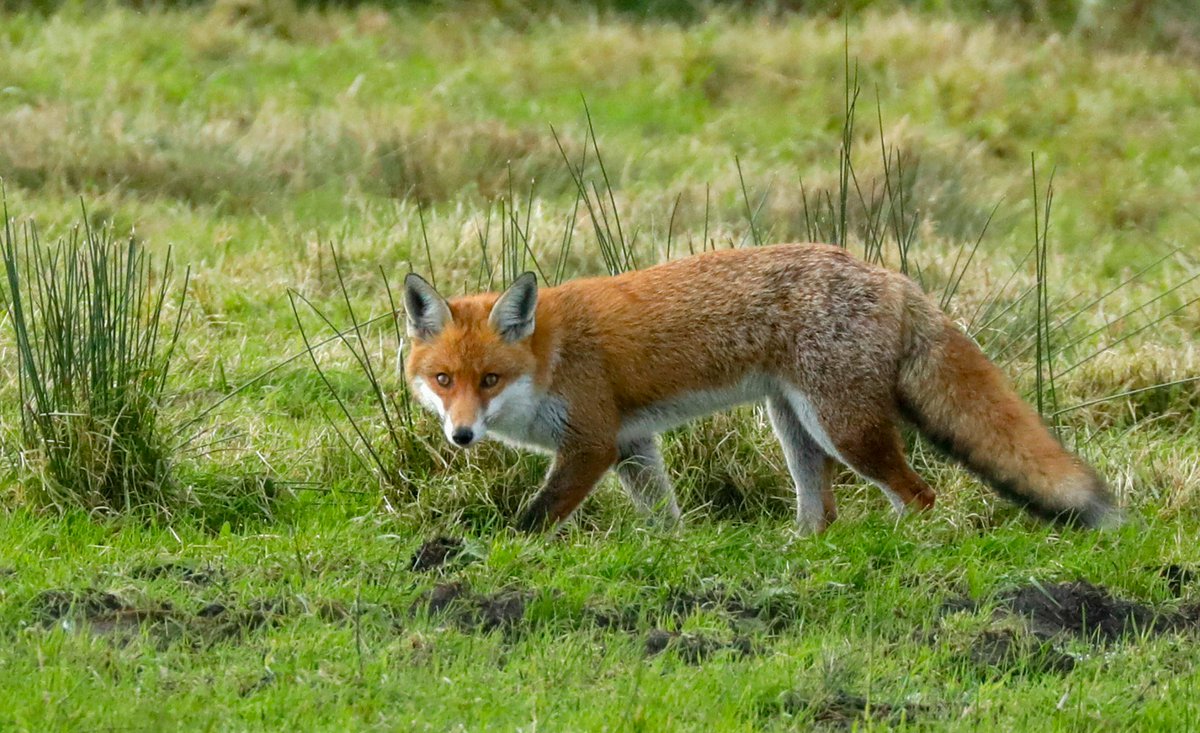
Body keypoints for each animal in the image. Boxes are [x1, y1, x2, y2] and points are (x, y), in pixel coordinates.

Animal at [400, 243, 1113, 537]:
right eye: (444, 380)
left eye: (490, 380)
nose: (461, 435)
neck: (548, 356)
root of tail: (889, 274)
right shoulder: (632, 445)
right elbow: (665, 519)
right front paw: (675, 553)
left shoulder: (592, 444)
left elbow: (533, 519)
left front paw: (495, 554)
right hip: (794, 424)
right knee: (822, 514)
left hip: (843, 428)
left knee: (919, 495)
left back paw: (901, 549)